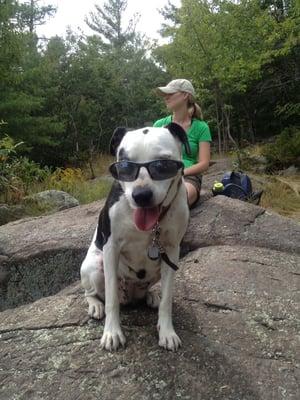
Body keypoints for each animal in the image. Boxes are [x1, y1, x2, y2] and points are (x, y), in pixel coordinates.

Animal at [80, 122, 190, 350]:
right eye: (124, 166)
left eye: (162, 164)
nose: (141, 195)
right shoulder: (111, 248)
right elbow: (111, 298)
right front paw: (112, 333)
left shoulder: (171, 250)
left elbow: (167, 299)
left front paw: (167, 332)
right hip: (95, 265)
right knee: (91, 293)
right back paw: (95, 305)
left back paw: (151, 295)